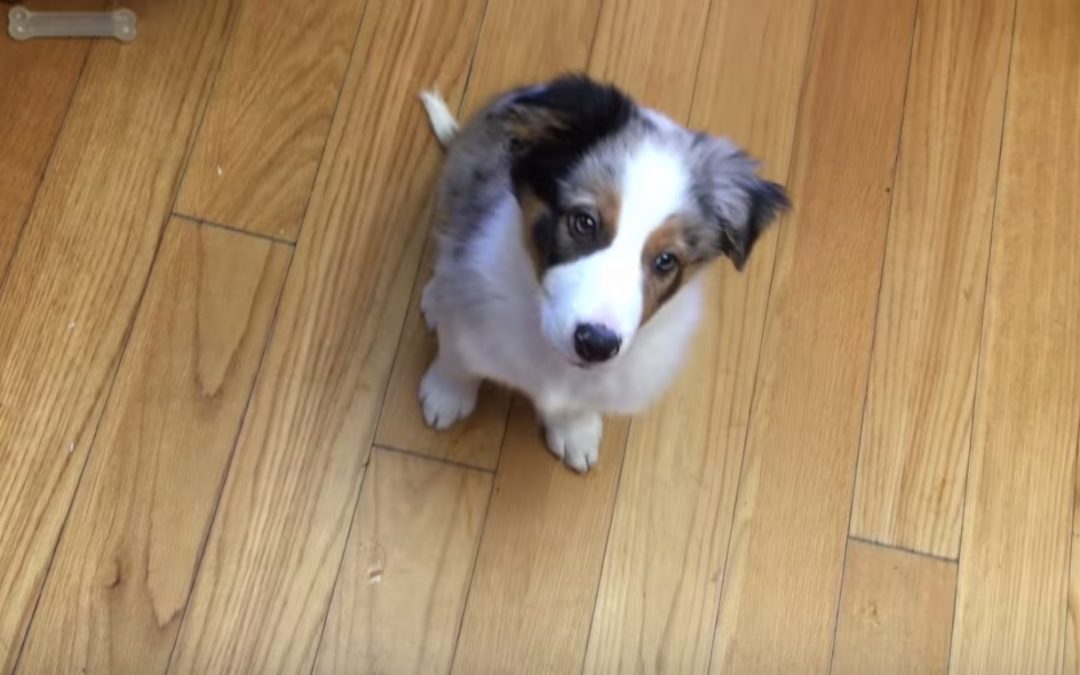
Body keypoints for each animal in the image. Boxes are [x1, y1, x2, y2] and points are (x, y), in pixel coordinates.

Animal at [412, 75, 786, 473]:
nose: (596, 344)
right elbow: (459, 355)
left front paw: (574, 431)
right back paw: (435, 296)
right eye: (584, 222)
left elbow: (581, 401)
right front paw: (446, 394)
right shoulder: (473, 309)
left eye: (666, 260)